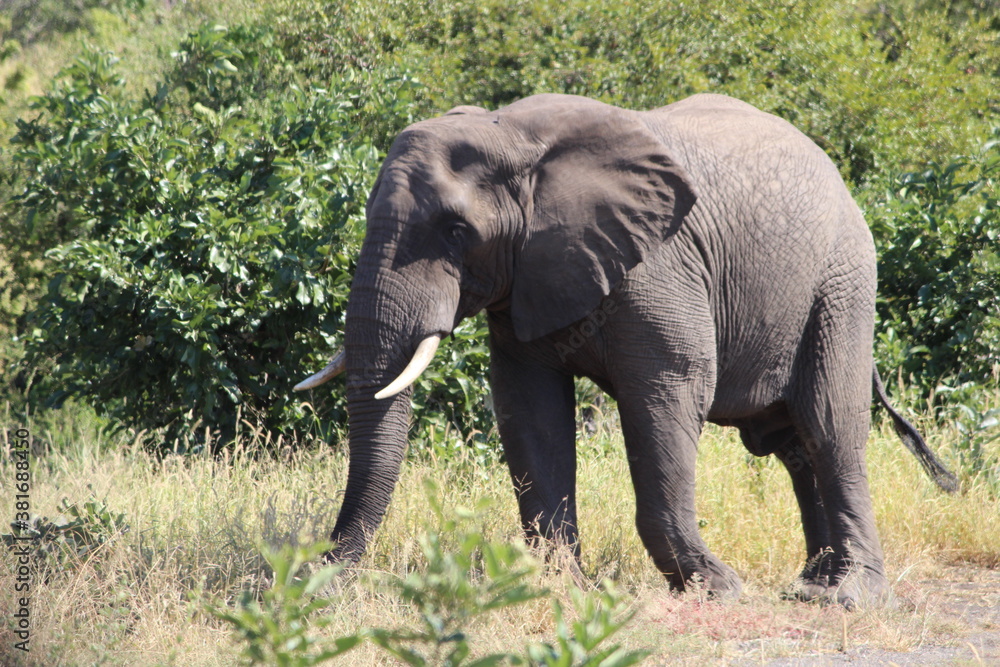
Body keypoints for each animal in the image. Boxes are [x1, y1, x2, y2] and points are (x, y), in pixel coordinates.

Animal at [298, 94, 960, 612]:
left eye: (457, 231)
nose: (308, 580)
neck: (512, 133)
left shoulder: (660, 267)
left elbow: (668, 396)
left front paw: (718, 590)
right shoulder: (528, 278)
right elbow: (530, 412)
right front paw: (562, 591)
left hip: (842, 279)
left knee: (829, 425)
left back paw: (847, 598)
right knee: (790, 444)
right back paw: (809, 586)